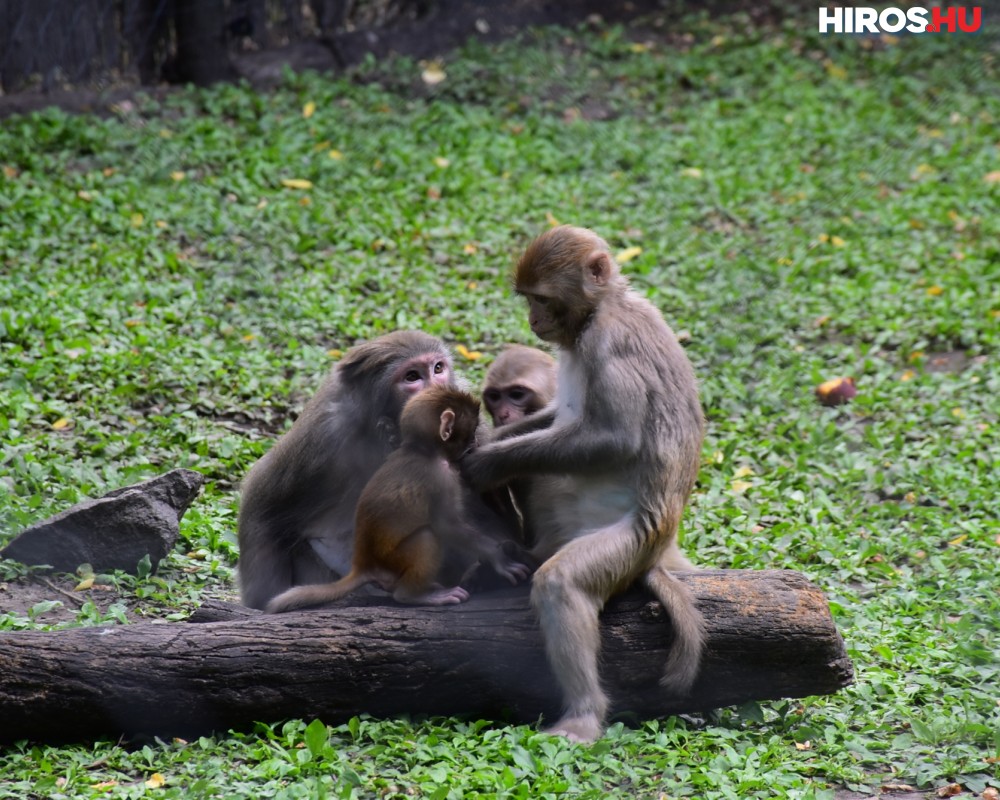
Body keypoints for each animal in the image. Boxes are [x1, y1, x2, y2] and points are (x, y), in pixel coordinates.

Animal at [266, 388, 532, 612]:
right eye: (473, 430)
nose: (476, 442)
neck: (421, 450)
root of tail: (363, 564)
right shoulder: (440, 477)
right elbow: (447, 525)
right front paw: (499, 558)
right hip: (393, 561)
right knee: (426, 536)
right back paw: (414, 595)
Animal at [464, 225, 708, 744]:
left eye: (541, 298)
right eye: (527, 299)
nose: (533, 318)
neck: (602, 307)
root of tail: (658, 552)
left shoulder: (608, 342)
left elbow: (615, 439)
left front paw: (490, 462)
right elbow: (558, 415)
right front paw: (494, 439)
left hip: (630, 544)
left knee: (562, 583)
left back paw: (583, 714)